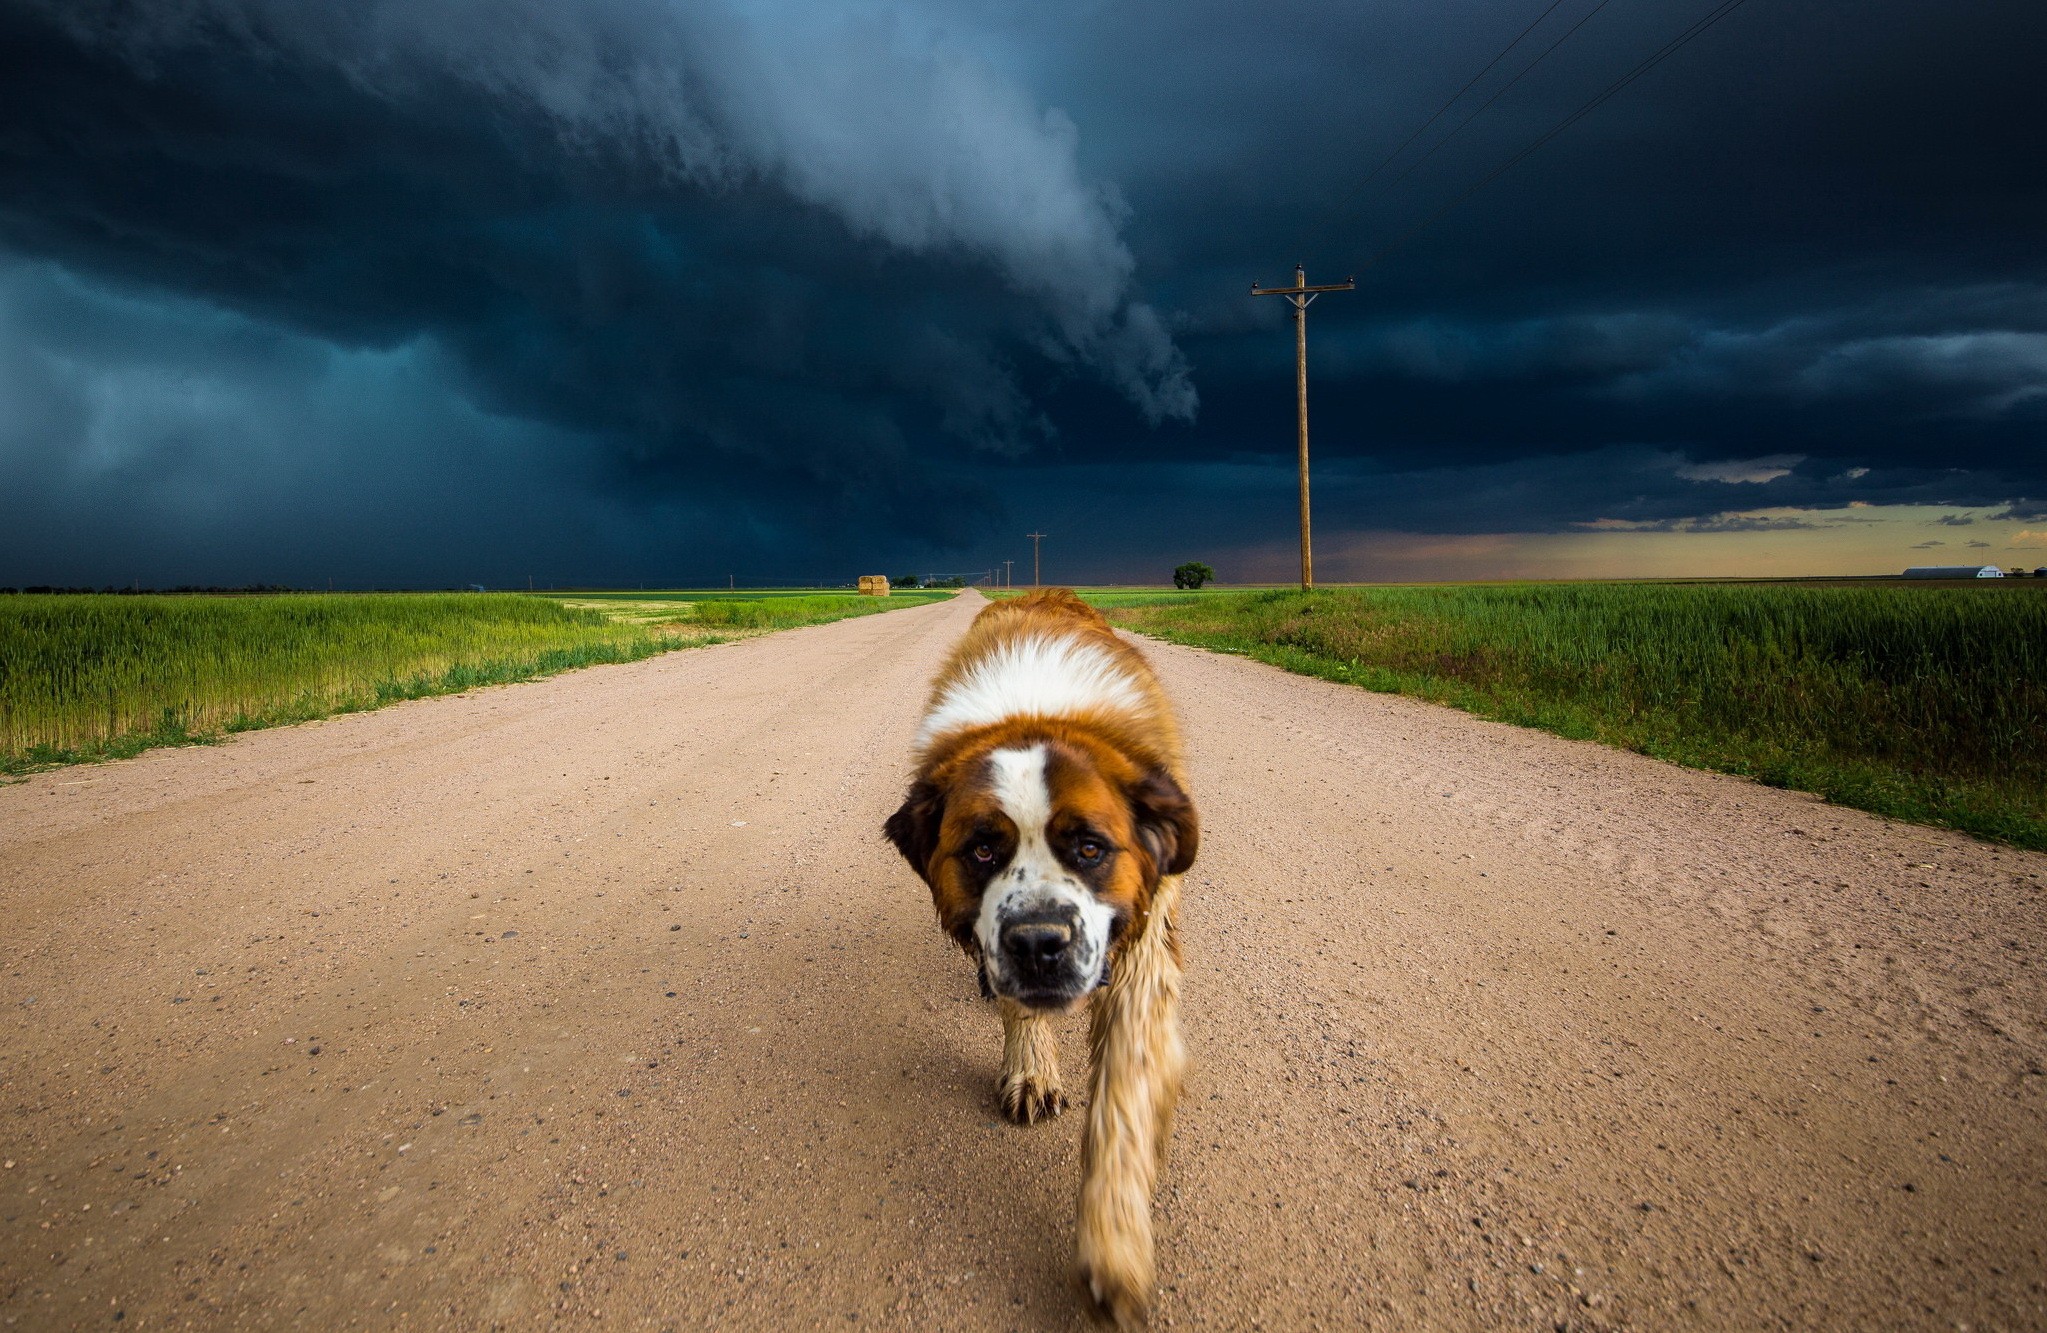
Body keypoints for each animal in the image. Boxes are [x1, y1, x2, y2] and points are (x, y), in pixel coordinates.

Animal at [884, 589, 1195, 1326]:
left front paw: (1114, 1249)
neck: (1036, 709)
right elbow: (1016, 1005)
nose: (1038, 943)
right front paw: (1029, 1069)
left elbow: (1123, 1098)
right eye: (981, 850)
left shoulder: (1141, 945)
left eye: (1089, 846)